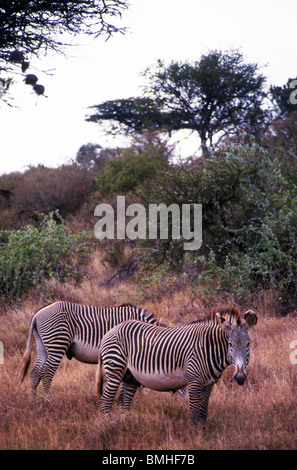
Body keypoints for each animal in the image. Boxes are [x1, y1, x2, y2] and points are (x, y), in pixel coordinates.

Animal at [20, 302, 158, 392]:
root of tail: (37, 314)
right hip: (57, 343)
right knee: (47, 371)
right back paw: (47, 398)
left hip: (42, 345)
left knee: (36, 371)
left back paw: (34, 400)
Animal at [96, 306, 256, 428]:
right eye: (230, 345)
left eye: (248, 344)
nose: (240, 378)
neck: (207, 348)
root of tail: (111, 330)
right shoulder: (194, 381)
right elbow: (194, 410)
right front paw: (194, 434)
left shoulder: (209, 384)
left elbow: (204, 410)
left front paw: (203, 432)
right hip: (115, 370)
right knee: (105, 401)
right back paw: (107, 426)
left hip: (130, 377)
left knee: (124, 403)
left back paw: (126, 423)